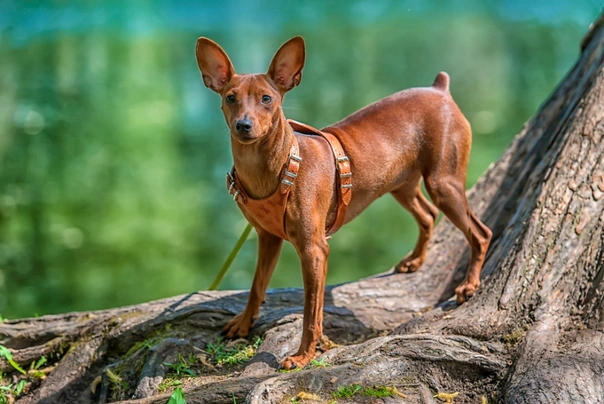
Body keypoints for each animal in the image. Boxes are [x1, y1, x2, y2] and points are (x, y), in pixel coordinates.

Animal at [196, 36, 494, 368]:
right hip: (401, 185)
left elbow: (311, 312)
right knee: (428, 215)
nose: (243, 126)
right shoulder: (268, 238)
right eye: (230, 98)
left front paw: (303, 355)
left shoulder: (314, 250)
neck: (279, 166)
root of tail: (439, 90)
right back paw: (415, 260)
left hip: (443, 184)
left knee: (481, 233)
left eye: (266, 99)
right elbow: (257, 286)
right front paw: (244, 323)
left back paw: (469, 285)